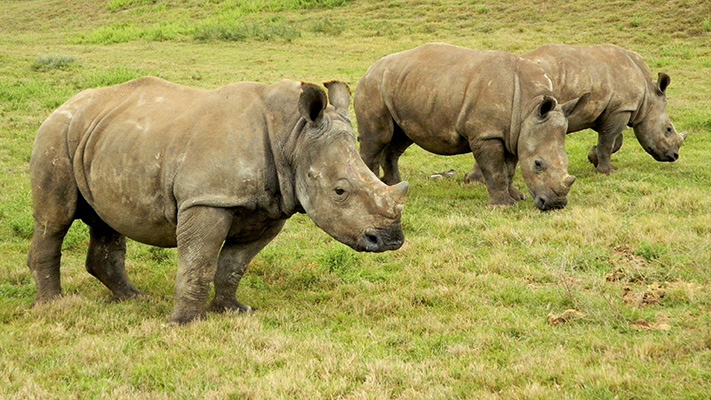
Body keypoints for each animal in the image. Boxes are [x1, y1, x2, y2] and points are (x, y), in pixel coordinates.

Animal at [27, 76, 408, 324]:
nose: (390, 239)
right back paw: (54, 306)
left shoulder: (270, 209)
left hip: (107, 140)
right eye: (340, 191)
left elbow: (233, 265)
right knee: (55, 219)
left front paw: (232, 310)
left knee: (106, 220)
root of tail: (65, 104)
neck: (293, 136)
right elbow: (198, 262)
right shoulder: (207, 199)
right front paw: (183, 323)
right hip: (55, 135)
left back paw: (133, 298)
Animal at [358, 43, 588, 211]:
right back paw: (374, 192)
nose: (555, 205)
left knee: (400, 139)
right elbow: (495, 170)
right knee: (378, 138)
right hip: (373, 85)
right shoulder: (487, 134)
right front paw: (502, 206)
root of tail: (370, 67)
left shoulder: (514, 133)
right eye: (538, 164)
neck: (528, 108)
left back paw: (393, 186)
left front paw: (517, 196)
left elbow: (510, 168)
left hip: (404, 86)